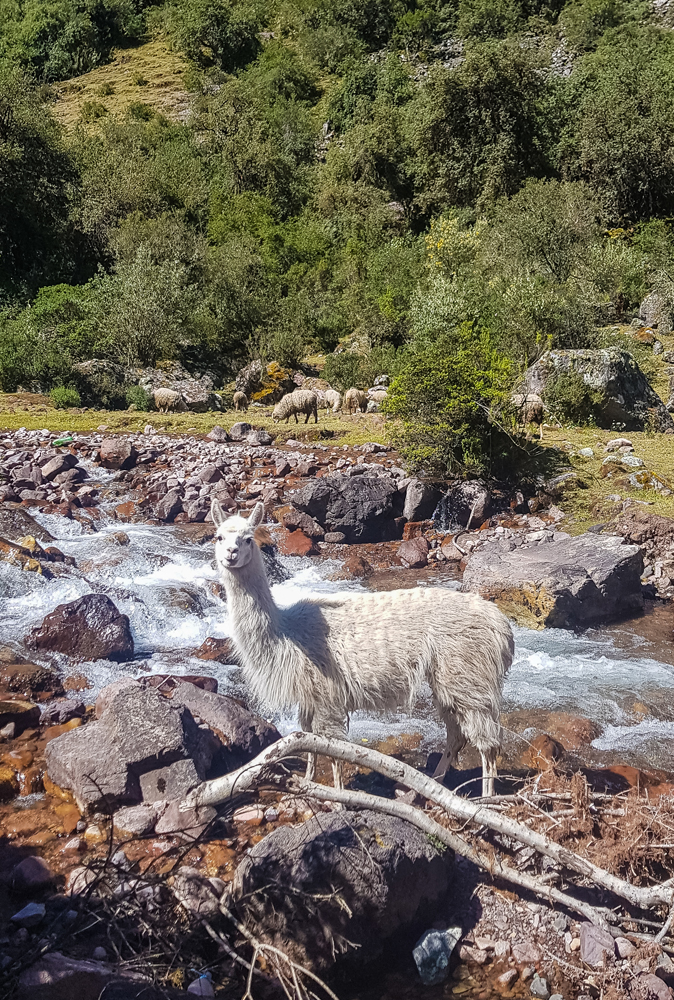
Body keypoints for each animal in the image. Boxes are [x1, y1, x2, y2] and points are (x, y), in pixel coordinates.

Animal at [211, 500, 516, 796]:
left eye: (248, 539)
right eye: (219, 537)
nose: (231, 554)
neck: (286, 631)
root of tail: (501, 624)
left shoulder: (327, 695)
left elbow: (332, 749)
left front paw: (337, 797)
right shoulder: (310, 695)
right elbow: (306, 739)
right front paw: (307, 782)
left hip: (468, 673)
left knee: (487, 743)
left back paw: (486, 799)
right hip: (451, 679)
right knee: (457, 735)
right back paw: (430, 788)